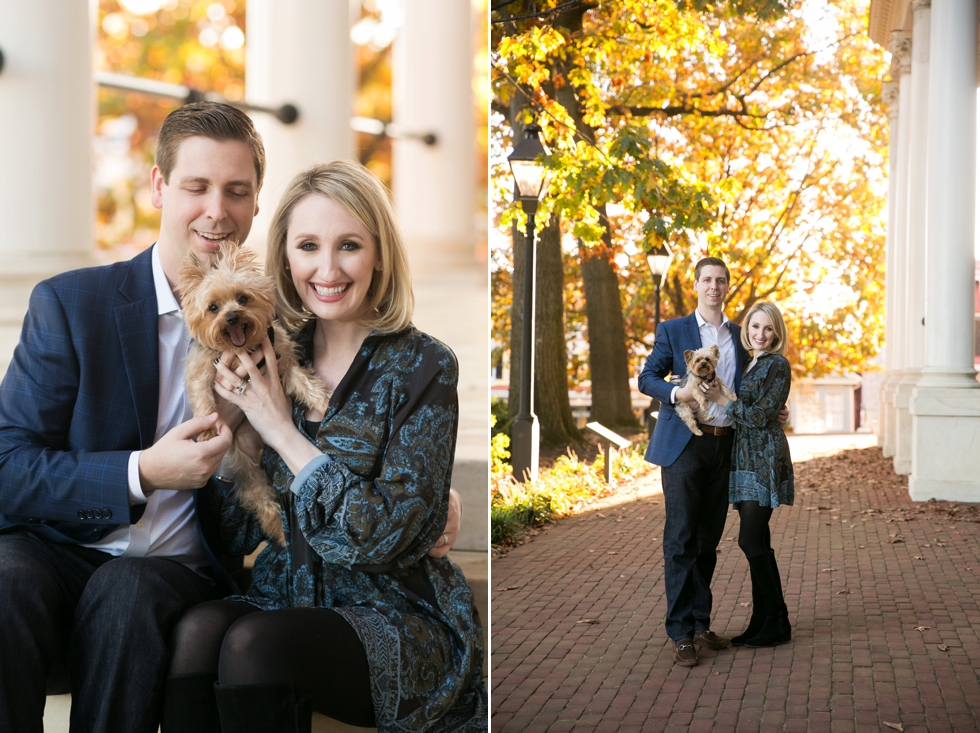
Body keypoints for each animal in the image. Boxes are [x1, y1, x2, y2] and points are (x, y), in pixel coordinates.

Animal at [176, 240, 330, 544]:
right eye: (213, 307)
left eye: (243, 298)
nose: (232, 316)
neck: (240, 351)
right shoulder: (201, 367)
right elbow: (202, 396)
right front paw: (207, 431)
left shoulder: (281, 359)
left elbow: (301, 378)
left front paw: (321, 399)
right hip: (248, 475)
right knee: (263, 503)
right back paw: (280, 534)